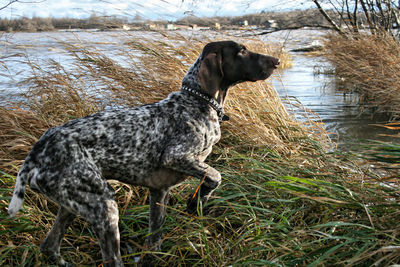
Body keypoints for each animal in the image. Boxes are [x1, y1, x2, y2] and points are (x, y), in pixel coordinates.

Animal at [7, 40, 280, 267]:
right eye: (242, 51)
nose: (277, 61)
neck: (198, 101)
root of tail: (38, 151)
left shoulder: (159, 190)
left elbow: (154, 238)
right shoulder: (177, 156)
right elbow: (215, 175)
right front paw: (196, 201)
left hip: (74, 203)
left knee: (49, 246)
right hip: (104, 205)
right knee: (110, 260)